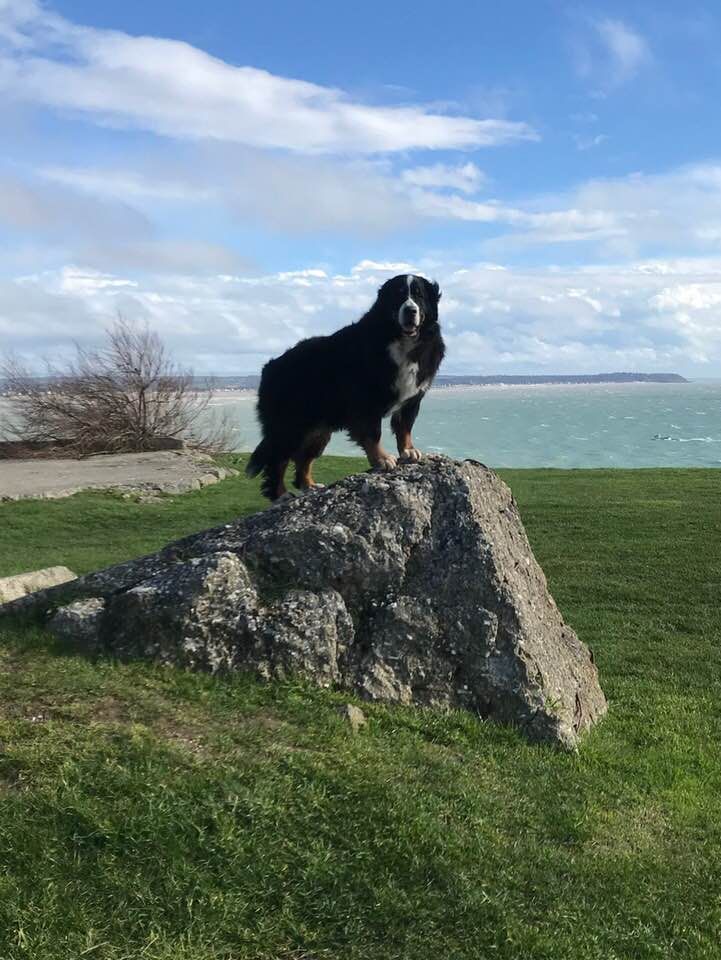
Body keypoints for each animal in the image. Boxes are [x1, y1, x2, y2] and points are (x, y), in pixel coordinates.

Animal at [245, 274, 442, 502]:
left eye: (419, 296)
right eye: (398, 294)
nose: (410, 310)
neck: (401, 341)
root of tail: (269, 368)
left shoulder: (412, 399)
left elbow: (405, 427)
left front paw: (408, 451)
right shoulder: (365, 400)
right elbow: (373, 434)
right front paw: (382, 459)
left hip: (318, 431)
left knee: (303, 458)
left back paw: (310, 485)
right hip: (289, 425)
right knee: (278, 459)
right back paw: (281, 495)